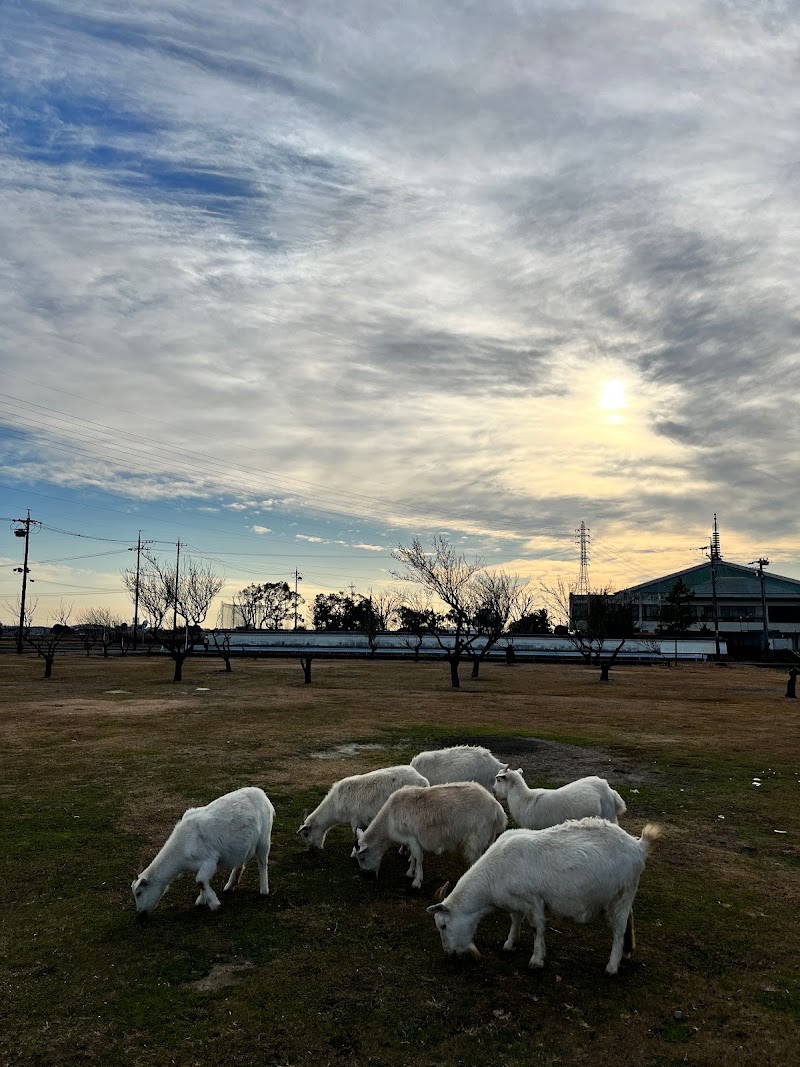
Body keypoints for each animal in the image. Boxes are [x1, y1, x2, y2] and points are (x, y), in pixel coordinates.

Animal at [131, 789, 275, 913]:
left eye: (139, 893)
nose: (141, 913)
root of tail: (261, 794)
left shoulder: (210, 859)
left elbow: (200, 880)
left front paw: (214, 904)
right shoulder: (199, 865)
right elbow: (201, 882)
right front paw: (202, 900)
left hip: (264, 839)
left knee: (262, 863)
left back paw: (264, 890)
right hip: (241, 846)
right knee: (240, 862)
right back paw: (230, 885)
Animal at [296, 768, 433, 849]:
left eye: (306, 834)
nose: (310, 850)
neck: (334, 806)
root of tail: (423, 780)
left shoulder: (355, 820)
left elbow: (356, 836)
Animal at [356, 781, 507, 887]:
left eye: (362, 858)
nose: (366, 876)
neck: (388, 820)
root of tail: (498, 810)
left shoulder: (412, 837)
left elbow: (418, 856)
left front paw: (417, 881)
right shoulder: (411, 839)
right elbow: (414, 856)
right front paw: (410, 872)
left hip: (476, 838)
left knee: (476, 859)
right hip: (489, 836)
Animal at [428, 815, 661, 977]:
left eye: (443, 926)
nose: (449, 954)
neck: (494, 874)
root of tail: (638, 846)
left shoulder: (534, 900)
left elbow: (536, 927)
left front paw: (536, 960)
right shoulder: (516, 901)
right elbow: (515, 919)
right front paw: (510, 943)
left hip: (624, 893)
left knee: (619, 928)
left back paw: (612, 966)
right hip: (621, 894)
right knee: (629, 918)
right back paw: (627, 951)